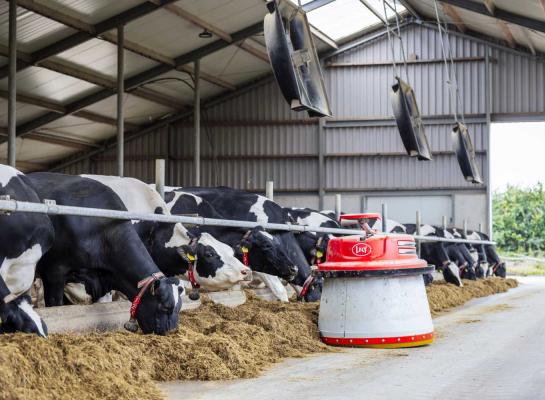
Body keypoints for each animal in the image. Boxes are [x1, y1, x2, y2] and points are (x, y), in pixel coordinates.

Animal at [26, 173, 184, 336]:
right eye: (165, 307)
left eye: (179, 308)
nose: (172, 331)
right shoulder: (54, 272)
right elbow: (55, 306)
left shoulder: (102, 280)